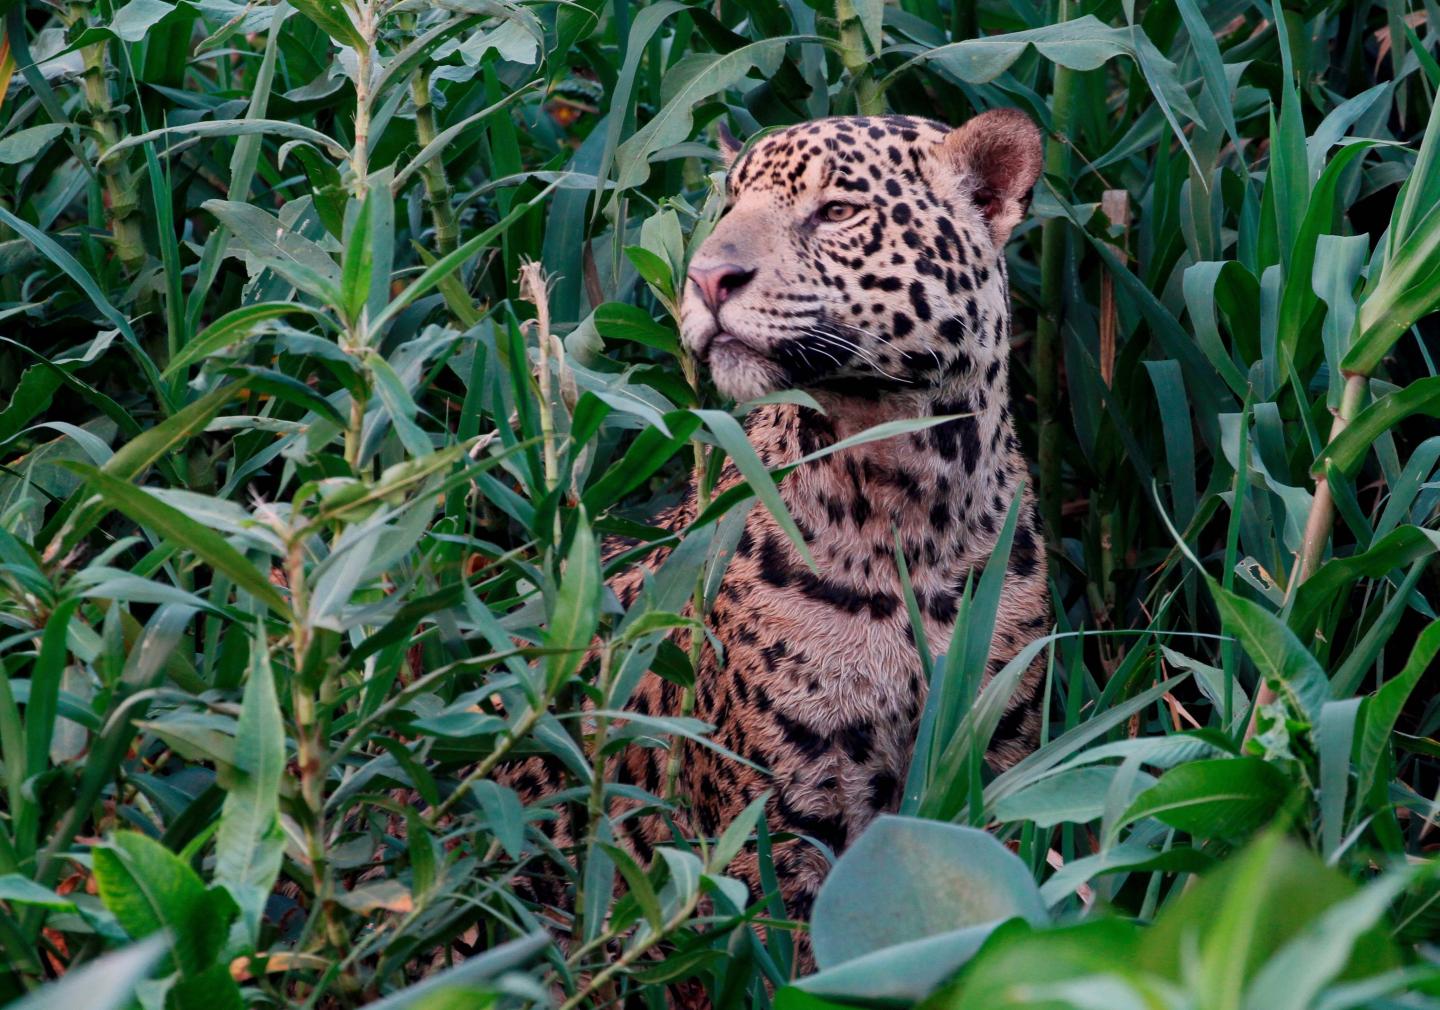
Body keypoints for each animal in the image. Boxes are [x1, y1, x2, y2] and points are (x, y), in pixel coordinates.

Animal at [505, 109, 1050, 983]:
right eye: (728, 206)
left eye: (837, 212)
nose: (705, 279)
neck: (908, 502)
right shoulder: (788, 814)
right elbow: (790, 960)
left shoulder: (999, 759)